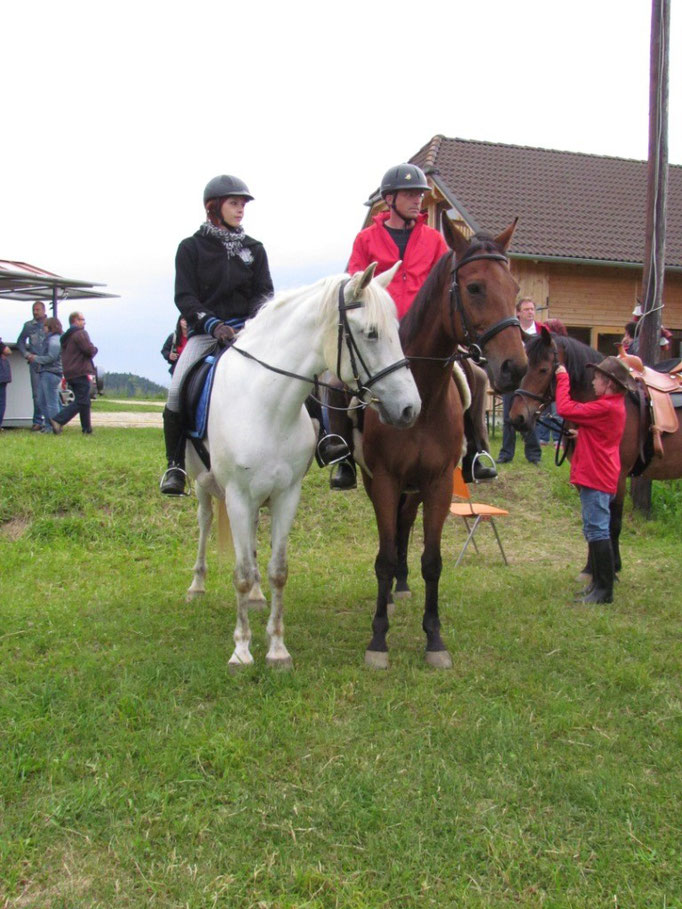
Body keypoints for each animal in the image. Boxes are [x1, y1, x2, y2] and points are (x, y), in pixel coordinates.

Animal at [186, 262, 420, 668]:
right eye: (371, 333)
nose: (410, 408)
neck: (265, 404)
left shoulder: (286, 494)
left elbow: (277, 570)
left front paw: (277, 649)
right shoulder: (237, 496)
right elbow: (240, 573)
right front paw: (242, 651)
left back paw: (256, 597)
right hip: (203, 484)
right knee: (204, 523)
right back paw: (197, 585)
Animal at [356, 217, 524, 672]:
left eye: (515, 287)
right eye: (475, 287)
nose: (515, 367)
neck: (422, 396)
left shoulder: (438, 485)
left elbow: (431, 561)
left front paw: (434, 637)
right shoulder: (384, 481)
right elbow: (382, 557)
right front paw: (378, 639)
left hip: (416, 490)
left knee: (404, 527)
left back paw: (401, 588)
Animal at [508, 328, 680, 576]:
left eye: (543, 369)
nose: (517, 418)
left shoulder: (618, 476)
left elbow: (612, 522)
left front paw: (613, 568)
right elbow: (590, 520)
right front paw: (591, 568)